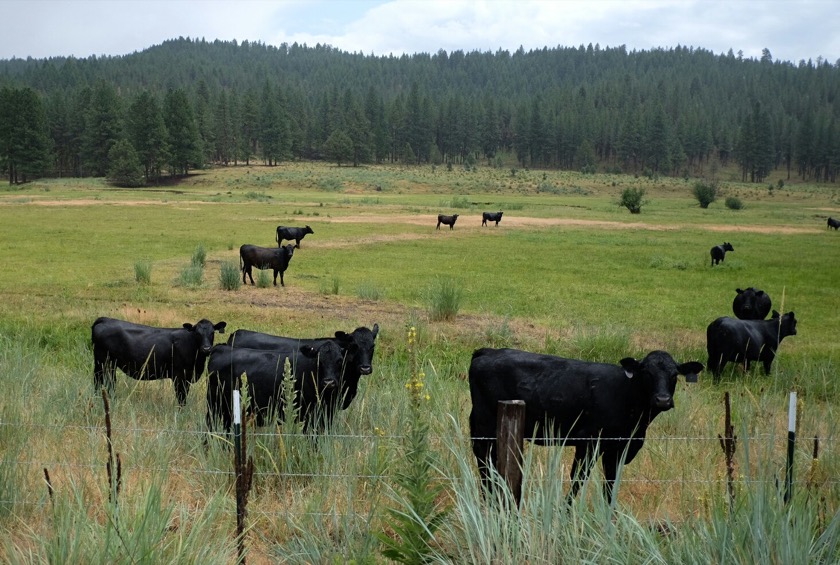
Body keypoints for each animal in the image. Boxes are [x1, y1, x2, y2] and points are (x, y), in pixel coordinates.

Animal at [92, 316, 226, 404]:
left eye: (212, 332)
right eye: (197, 333)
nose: (206, 348)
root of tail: (105, 319)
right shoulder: (179, 376)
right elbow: (181, 397)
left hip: (109, 364)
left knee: (108, 381)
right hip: (102, 361)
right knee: (100, 380)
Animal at [205, 338, 346, 434]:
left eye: (340, 361)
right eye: (319, 361)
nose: (329, 382)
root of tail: (220, 348)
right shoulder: (309, 415)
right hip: (214, 406)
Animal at [466, 348, 704, 502]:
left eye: (674, 375)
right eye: (646, 373)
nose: (663, 399)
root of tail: (488, 351)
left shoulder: (618, 449)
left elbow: (611, 483)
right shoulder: (588, 442)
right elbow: (578, 479)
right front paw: (566, 512)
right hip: (485, 425)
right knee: (484, 459)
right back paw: (488, 496)